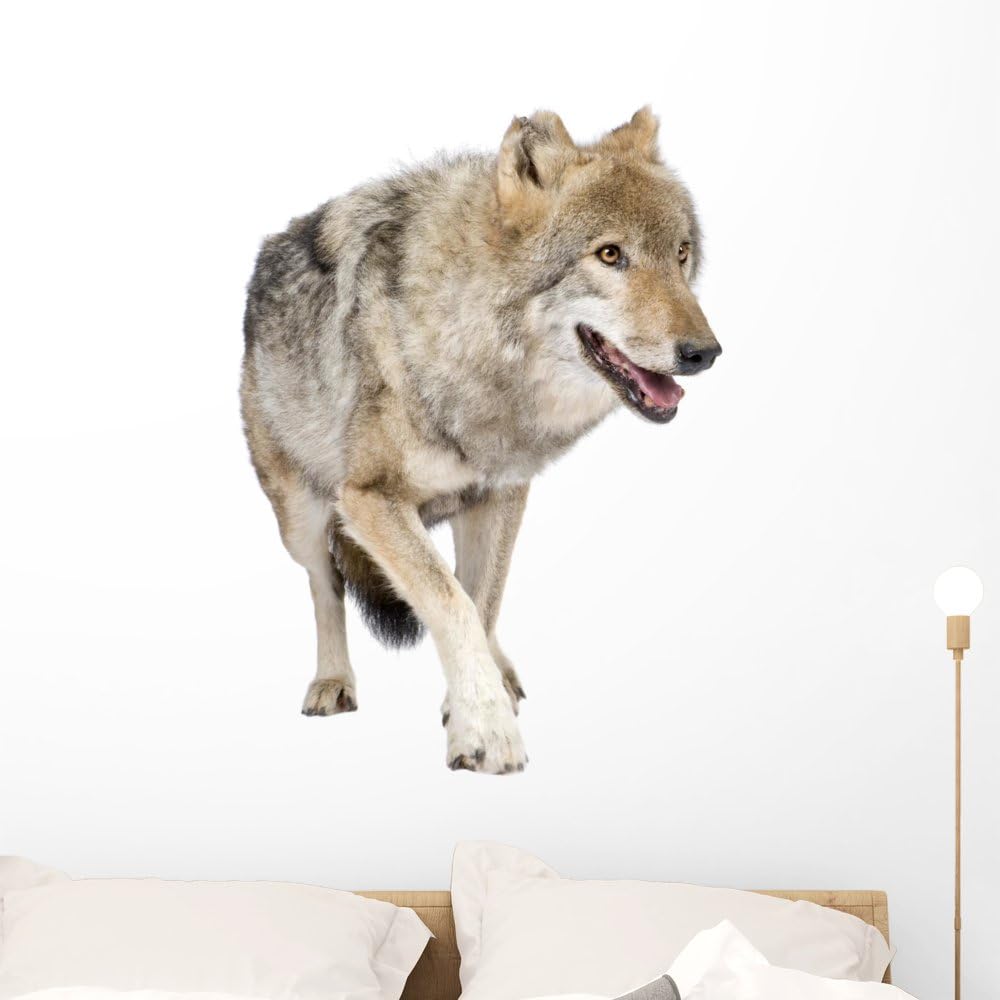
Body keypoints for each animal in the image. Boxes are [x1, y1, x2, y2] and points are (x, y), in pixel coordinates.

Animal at [241, 107, 720, 774]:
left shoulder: (503, 493)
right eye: (609, 254)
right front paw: (487, 733)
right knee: (325, 583)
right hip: (302, 517)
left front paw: (472, 701)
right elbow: (451, 602)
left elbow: (482, 599)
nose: (705, 353)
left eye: (680, 255)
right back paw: (333, 680)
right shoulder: (370, 498)